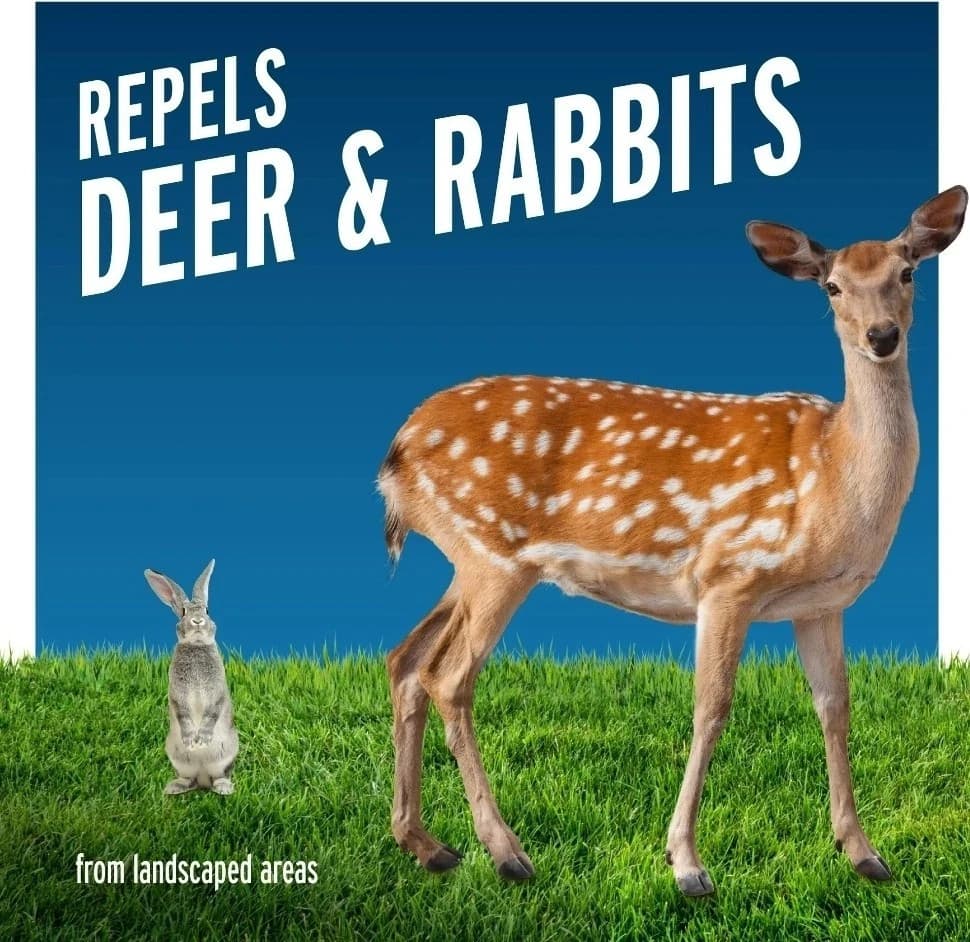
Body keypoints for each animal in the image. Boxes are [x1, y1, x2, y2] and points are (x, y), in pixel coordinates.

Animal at [145, 559, 238, 796]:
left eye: (207, 610)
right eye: (183, 612)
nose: (197, 621)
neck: (196, 645)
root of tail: (203, 777)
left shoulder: (217, 691)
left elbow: (213, 711)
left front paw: (202, 739)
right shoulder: (177, 693)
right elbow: (183, 713)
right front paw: (191, 741)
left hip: (226, 754)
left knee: (219, 775)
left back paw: (223, 788)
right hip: (178, 759)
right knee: (189, 779)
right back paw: (174, 787)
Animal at [377, 186, 966, 896]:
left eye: (907, 273)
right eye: (832, 287)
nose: (882, 336)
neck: (832, 474)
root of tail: (395, 453)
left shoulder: (821, 604)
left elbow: (836, 706)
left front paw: (863, 852)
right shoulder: (728, 575)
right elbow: (711, 708)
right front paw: (686, 863)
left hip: (468, 559)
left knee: (405, 659)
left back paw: (425, 844)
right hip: (495, 554)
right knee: (447, 677)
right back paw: (505, 851)